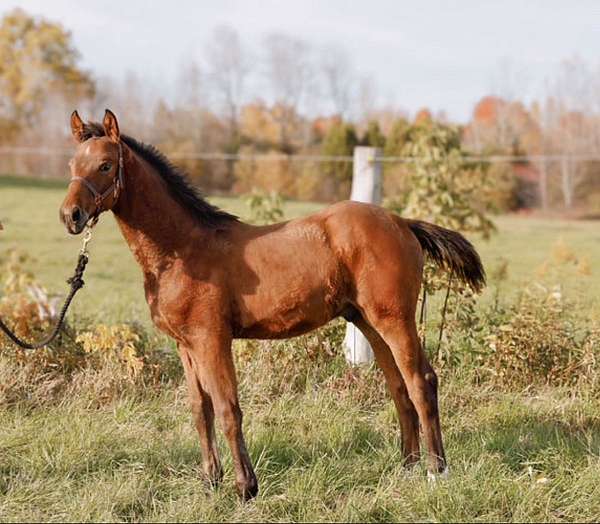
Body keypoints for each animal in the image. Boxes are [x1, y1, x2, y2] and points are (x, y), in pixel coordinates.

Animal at [59, 109, 482, 500]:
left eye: (105, 165)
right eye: (72, 166)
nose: (70, 216)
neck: (180, 251)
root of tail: (402, 222)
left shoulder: (212, 339)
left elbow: (227, 408)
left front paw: (245, 487)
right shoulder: (185, 344)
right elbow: (200, 409)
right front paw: (210, 482)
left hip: (394, 319)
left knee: (421, 381)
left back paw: (436, 471)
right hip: (369, 323)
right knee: (398, 386)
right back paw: (407, 468)